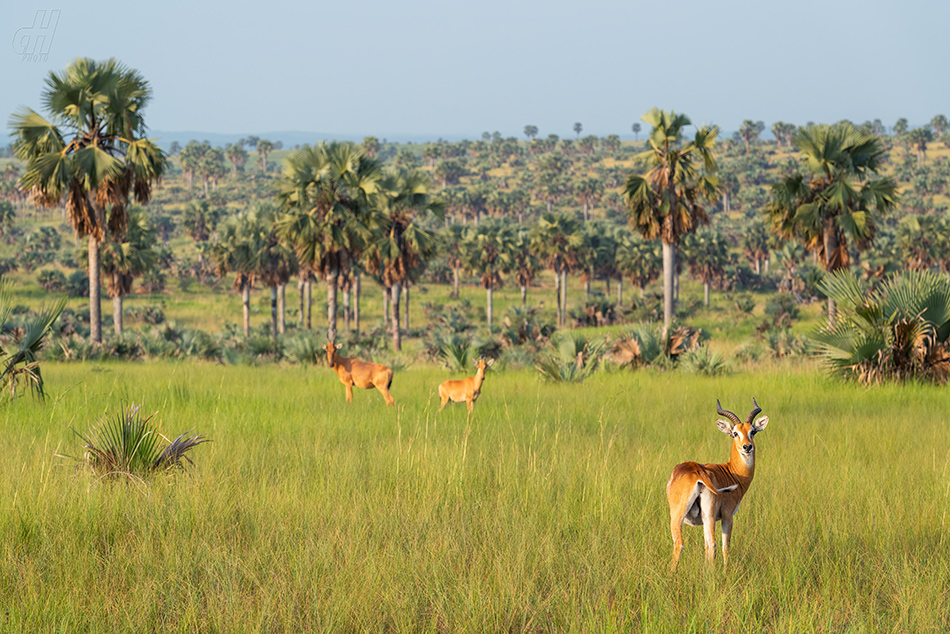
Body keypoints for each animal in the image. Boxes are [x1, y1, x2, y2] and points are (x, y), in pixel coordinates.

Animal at [664, 396, 768, 568]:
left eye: (752, 431)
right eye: (735, 433)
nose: (747, 447)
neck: (731, 471)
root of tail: (697, 471)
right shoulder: (728, 516)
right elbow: (726, 547)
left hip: (695, 515)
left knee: (703, 544)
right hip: (696, 514)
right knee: (705, 544)